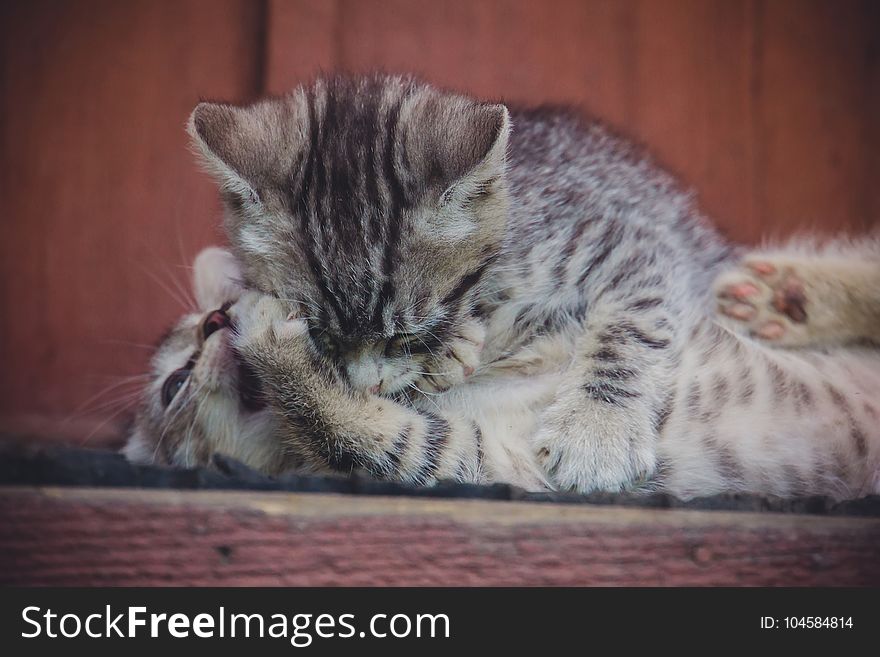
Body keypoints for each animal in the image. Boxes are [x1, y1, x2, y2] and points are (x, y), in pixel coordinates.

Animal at [131, 74, 880, 498]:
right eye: (323, 335)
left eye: (411, 328)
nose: (368, 380)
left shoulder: (631, 247)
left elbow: (629, 328)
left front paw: (597, 429)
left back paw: (798, 296)